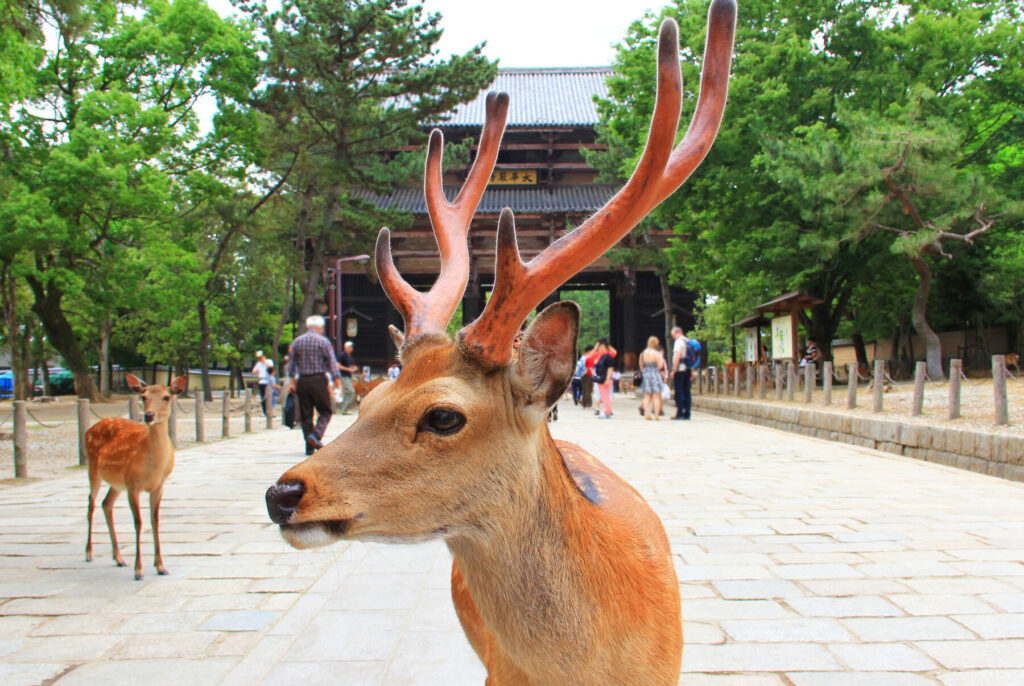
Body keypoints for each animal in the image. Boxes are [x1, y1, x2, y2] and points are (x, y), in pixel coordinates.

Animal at [86, 373, 186, 580]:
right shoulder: (133, 485)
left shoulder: (158, 486)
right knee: (91, 502)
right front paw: (138, 570)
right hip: (93, 467)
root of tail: (89, 430)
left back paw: (119, 558)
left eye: (166, 397)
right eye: (144, 397)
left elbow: (154, 521)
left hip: (117, 482)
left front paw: (161, 566)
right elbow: (138, 523)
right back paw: (89, 553)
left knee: (106, 503)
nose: (149, 415)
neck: (154, 466)